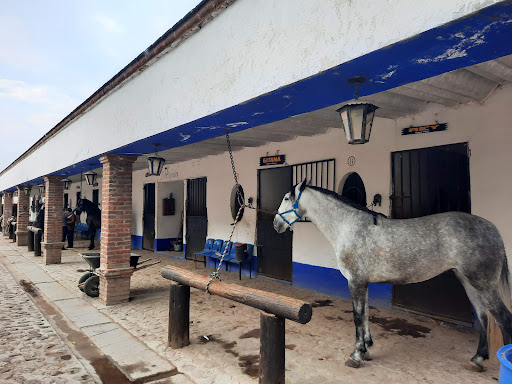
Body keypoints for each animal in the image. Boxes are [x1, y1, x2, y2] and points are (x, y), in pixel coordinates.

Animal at [274, 182, 510, 370]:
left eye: (286, 198)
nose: (276, 224)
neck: (349, 226)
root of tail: (492, 228)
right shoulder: (364, 282)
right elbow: (366, 313)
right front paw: (367, 348)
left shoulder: (355, 281)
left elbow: (358, 316)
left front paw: (356, 354)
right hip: (470, 283)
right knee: (484, 317)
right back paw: (478, 359)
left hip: (484, 285)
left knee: (503, 318)